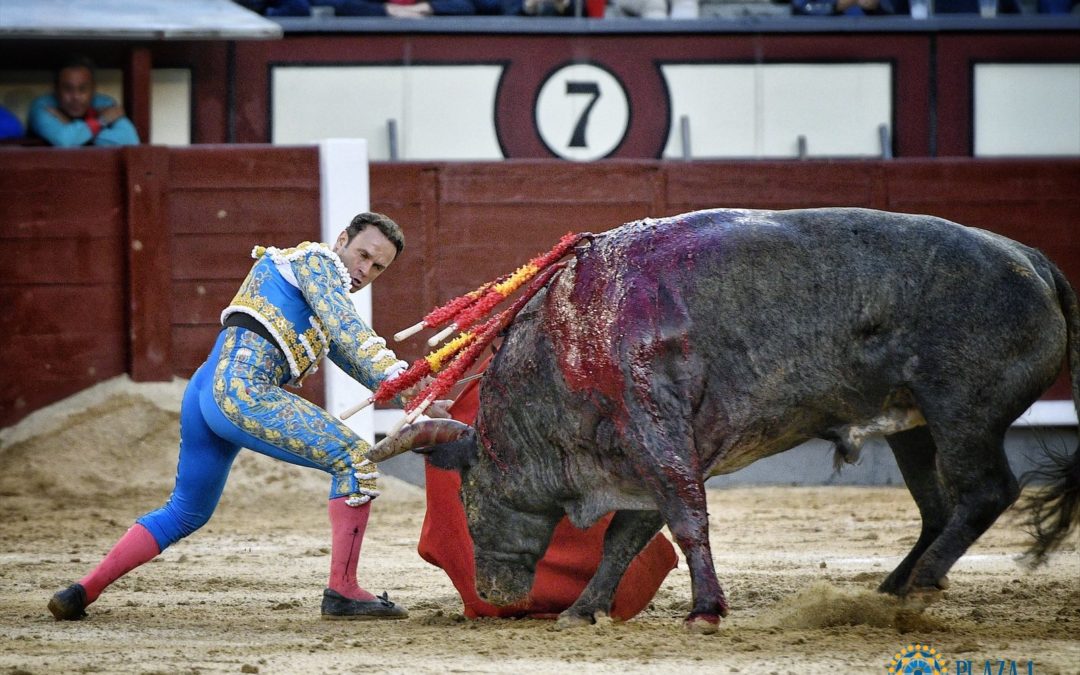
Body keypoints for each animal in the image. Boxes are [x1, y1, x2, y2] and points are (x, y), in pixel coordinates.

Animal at [367, 206, 1075, 630]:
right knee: (937, 506)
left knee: (987, 491)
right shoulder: (646, 457)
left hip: (961, 411)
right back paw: (894, 588)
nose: (492, 593)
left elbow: (685, 521)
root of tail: (1035, 260)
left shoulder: (656, 437)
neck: (568, 341)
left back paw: (923, 581)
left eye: (466, 493)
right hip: (916, 426)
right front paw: (585, 610)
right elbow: (627, 538)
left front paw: (705, 609)